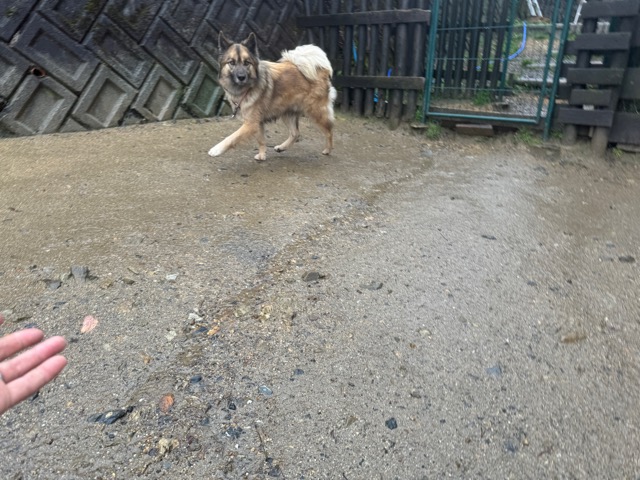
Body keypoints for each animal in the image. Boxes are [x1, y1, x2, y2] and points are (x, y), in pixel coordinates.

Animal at [208, 32, 337, 161]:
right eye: (232, 62)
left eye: (247, 63)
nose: (241, 77)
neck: (247, 88)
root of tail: (321, 69)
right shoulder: (257, 122)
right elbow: (261, 140)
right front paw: (262, 155)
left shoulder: (251, 123)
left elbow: (232, 137)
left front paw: (216, 149)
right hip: (287, 112)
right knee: (295, 133)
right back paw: (282, 147)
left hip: (316, 112)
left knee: (329, 131)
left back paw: (328, 150)